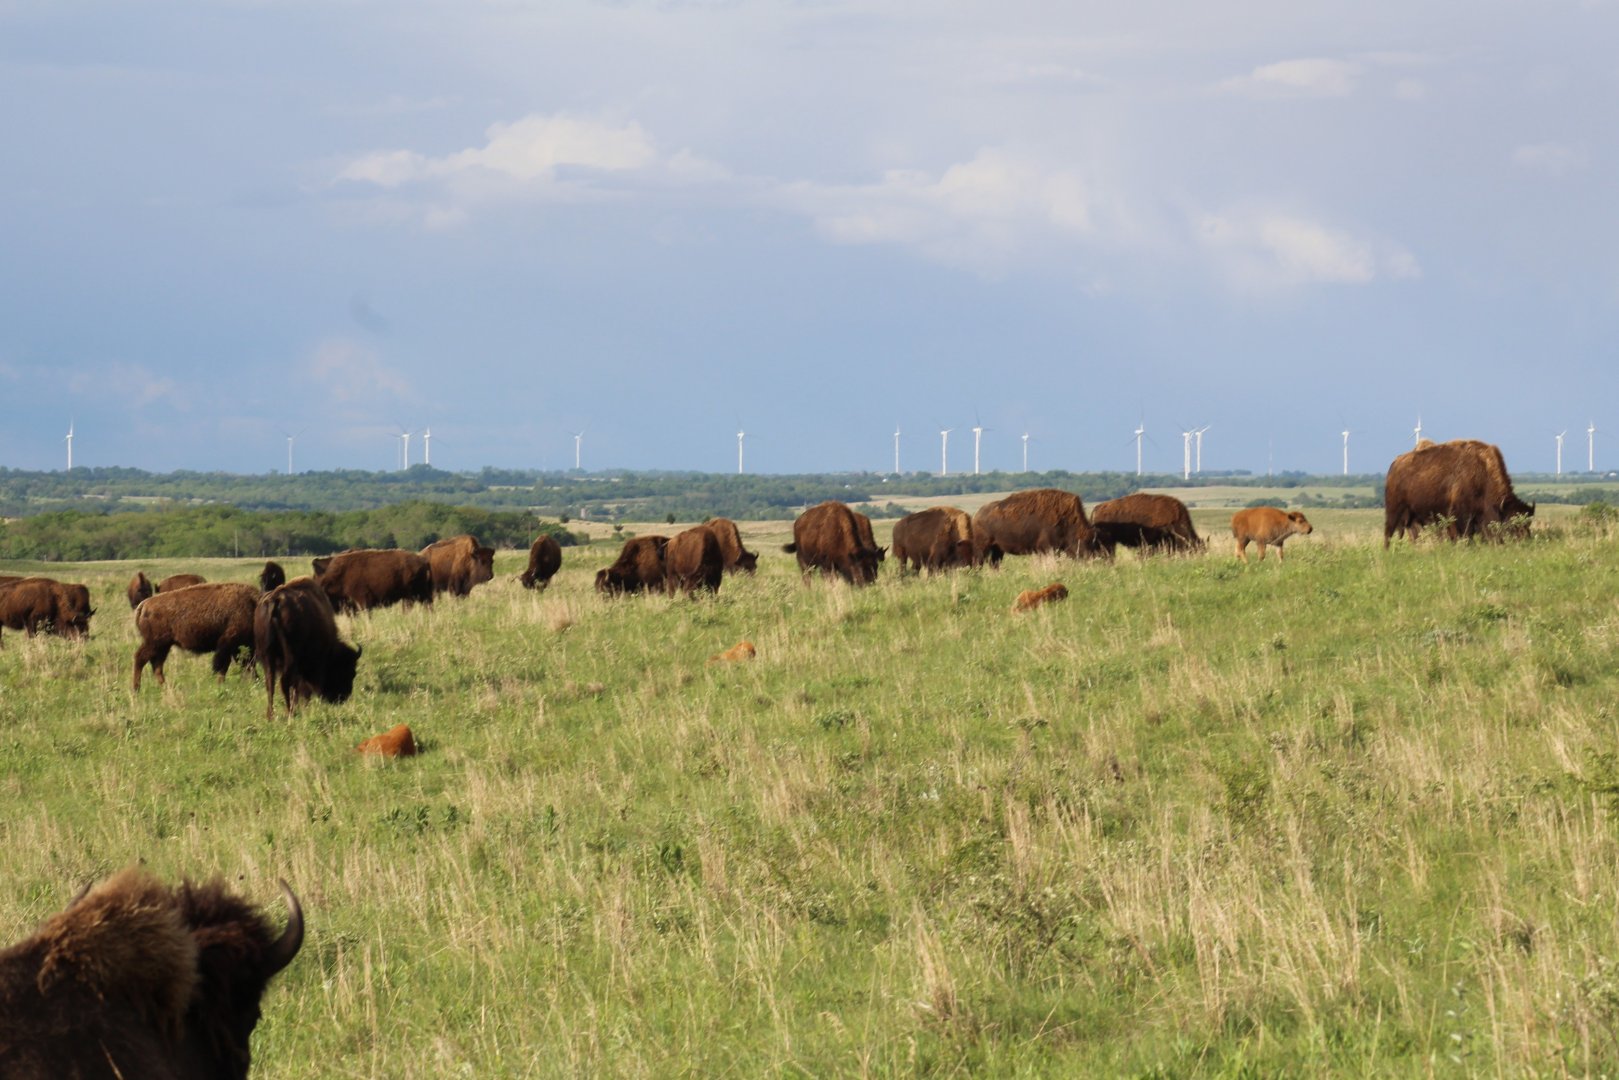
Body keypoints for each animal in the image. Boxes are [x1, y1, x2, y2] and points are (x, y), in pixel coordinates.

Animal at [255, 576, 362, 721]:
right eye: (350, 672)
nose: (343, 697)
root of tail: (274, 601)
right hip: (290, 658)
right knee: (284, 682)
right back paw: (290, 713)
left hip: (267, 657)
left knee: (270, 684)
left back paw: (271, 715)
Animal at [1384, 438, 1534, 547]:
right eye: (1512, 524)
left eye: (1528, 523)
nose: (1526, 541)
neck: (1482, 472)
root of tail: (1394, 464)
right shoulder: (1458, 515)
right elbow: (1461, 534)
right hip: (1394, 511)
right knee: (1388, 532)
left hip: (1412, 516)